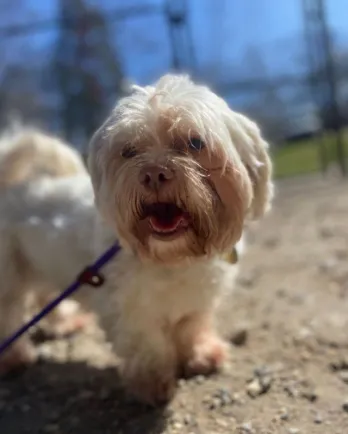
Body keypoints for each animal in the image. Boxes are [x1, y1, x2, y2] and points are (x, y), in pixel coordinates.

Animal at [0, 74, 274, 406]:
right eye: (129, 151)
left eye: (195, 142)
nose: (154, 173)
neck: (174, 257)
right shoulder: (129, 312)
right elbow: (149, 347)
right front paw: (155, 385)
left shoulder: (196, 302)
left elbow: (191, 327)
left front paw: (200, 356)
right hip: (8, 277)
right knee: (8, 314)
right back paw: (13, 358)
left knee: (44, 296)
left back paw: (64, 324)